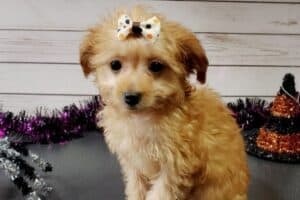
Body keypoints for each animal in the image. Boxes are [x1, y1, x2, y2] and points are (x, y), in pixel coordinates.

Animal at [79, 6, 248, 200]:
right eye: (115, 64)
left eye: (156, 66)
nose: (131, 97)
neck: (142, 118)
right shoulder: (134, 166)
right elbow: (136, 189)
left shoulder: (175, 169)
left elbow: (159, 194)